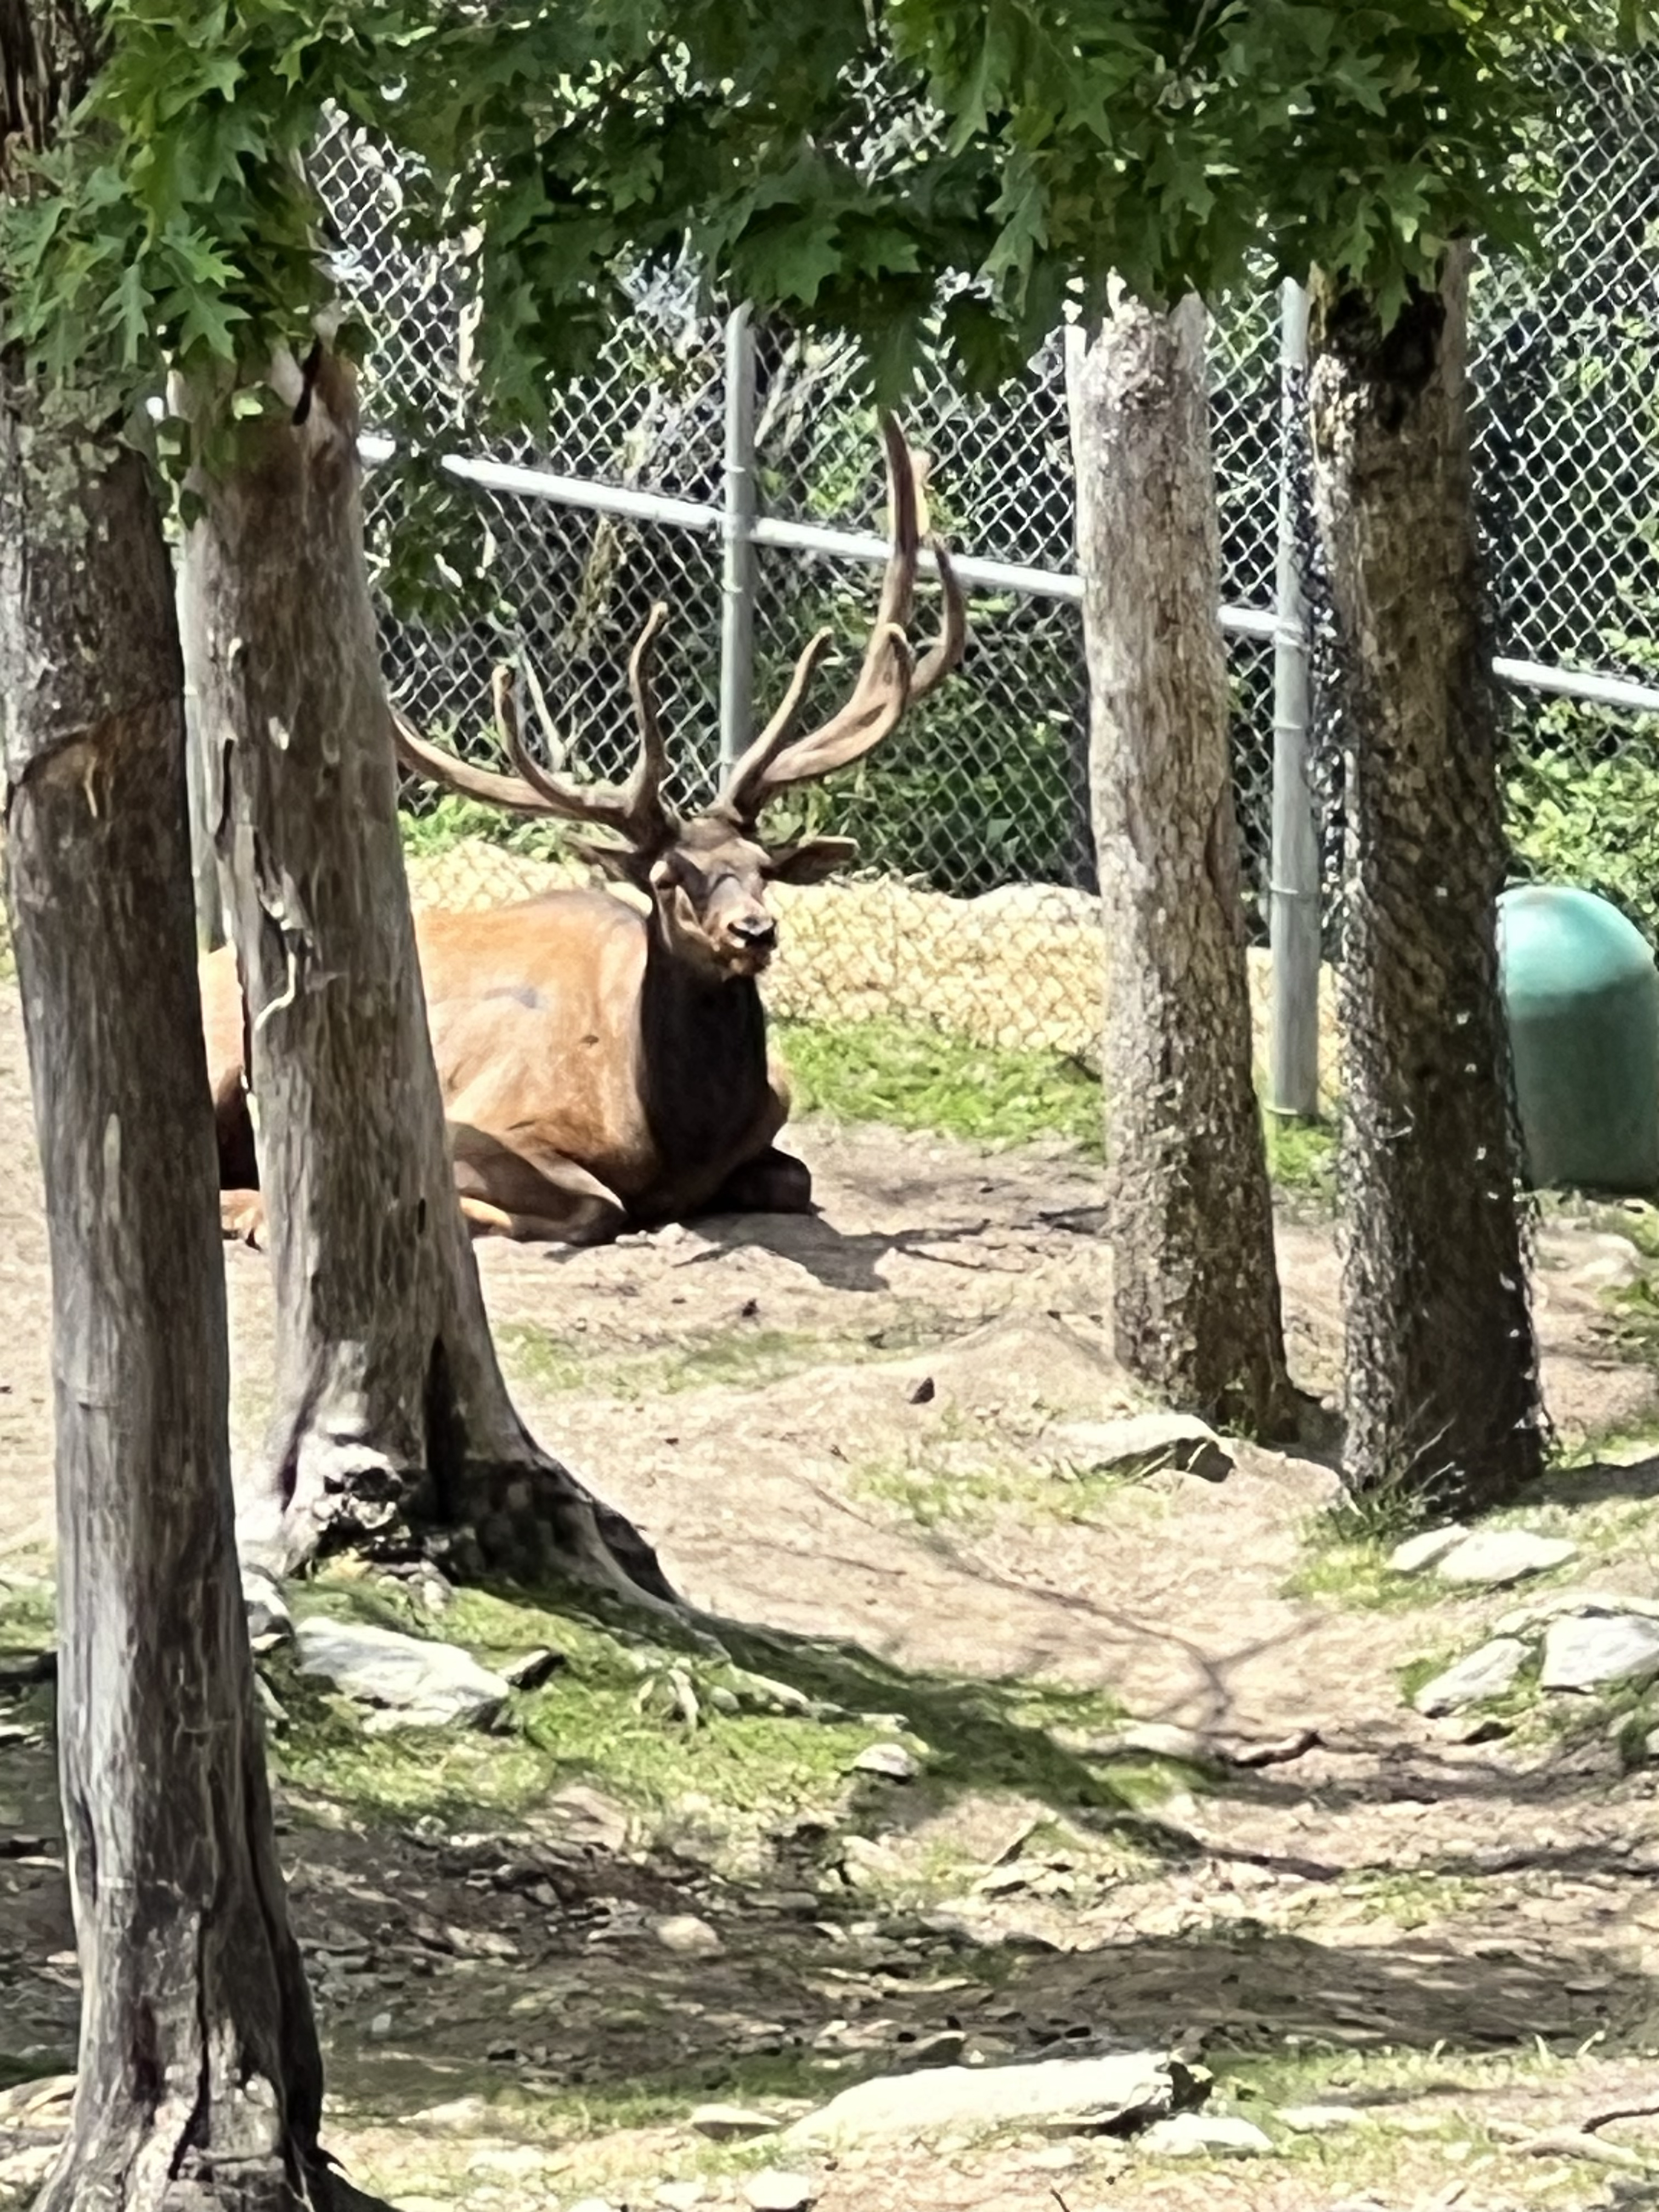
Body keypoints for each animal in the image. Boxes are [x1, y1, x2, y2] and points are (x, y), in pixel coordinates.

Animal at [202, 414, 966, 1245]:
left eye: (763, 865)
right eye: (668, 878)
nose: (754, 932)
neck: (674, 1133)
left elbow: (796, 1178)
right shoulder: (491, 1120)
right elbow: (596, 1204)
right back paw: (252, 1209)